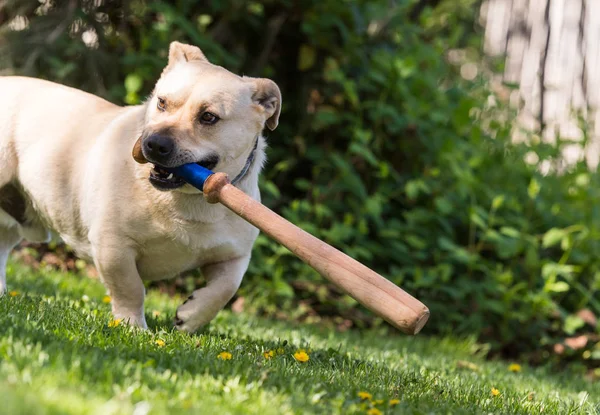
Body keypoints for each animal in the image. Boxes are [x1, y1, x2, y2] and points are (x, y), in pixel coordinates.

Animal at [0, 42, 282, 334]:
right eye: (161, 102)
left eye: (208, 117)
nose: (155, 143)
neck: (187, 199)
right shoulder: (114, 246)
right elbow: (131, 288)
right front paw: (132, 327)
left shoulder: (235, 255)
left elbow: (225, 289)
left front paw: (190, 316)